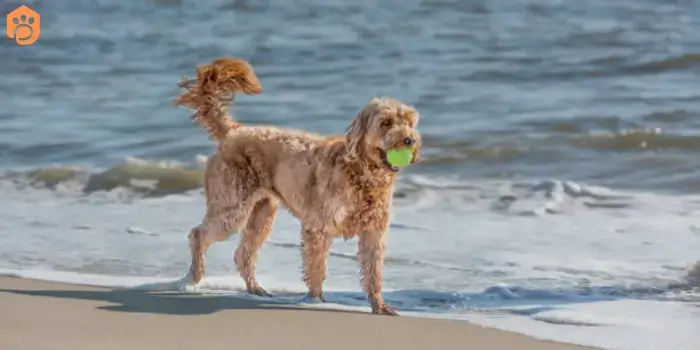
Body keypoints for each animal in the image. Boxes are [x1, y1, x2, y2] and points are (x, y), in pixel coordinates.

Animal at [174, 58, 422, 318]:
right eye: (386, 123)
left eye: (409, 122)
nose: (409, 140)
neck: (361, 172)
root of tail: (233, 130)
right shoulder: (319, 227)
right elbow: (316, 267)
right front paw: (315, 299)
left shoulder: (374, 232)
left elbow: (373, 272)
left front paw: (379, 305)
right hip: (231, 208)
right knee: (198, 234)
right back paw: (194, 278)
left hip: (262, 214)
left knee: (243, 253)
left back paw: (255, 288)